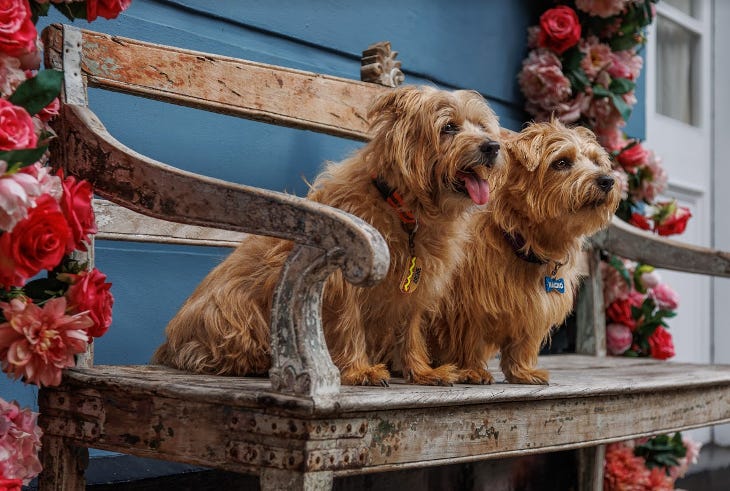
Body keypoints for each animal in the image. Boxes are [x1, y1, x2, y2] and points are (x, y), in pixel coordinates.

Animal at [153, 85, 500, 388]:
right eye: (449, 127)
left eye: (483, 127)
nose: (492, 146)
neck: (403, 210)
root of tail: (167, 347)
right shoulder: (339, 282)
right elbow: (349, 324)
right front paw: (360, 370)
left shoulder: (417, 288)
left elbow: (410, 332)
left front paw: (423, 371)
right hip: (232, 309)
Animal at [432, 119, 620, 384]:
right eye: (561, 162)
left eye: (595, 161)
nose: (607, 180)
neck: (525, 245)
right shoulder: (465, 305)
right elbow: (468, 340)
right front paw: (471, 370)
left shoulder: (535, 309)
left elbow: (523, 343)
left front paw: (523, 372)